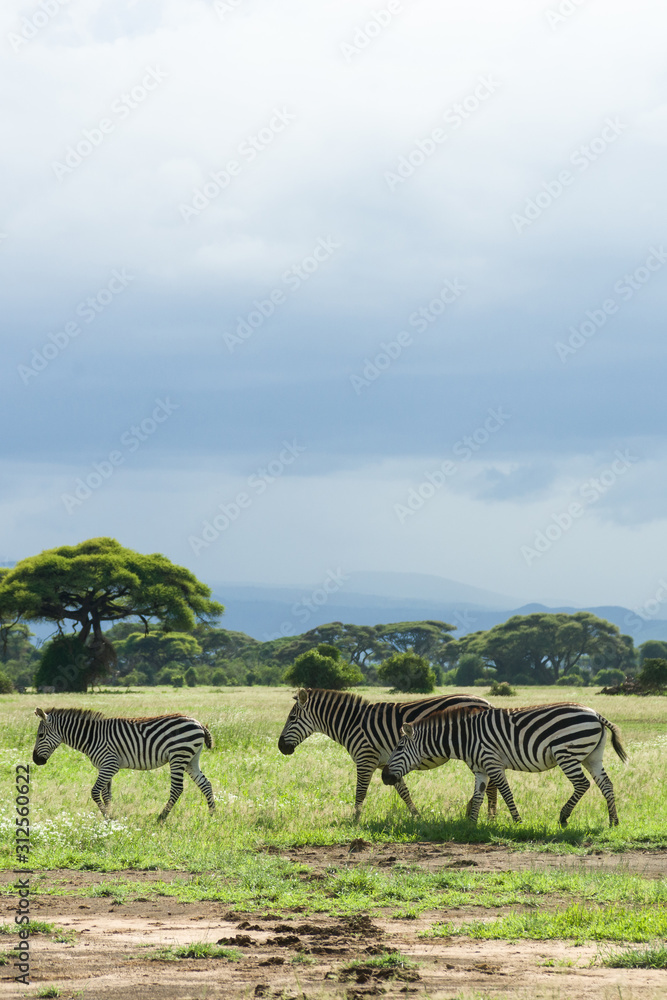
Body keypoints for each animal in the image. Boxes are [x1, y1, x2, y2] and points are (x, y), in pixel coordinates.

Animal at [32, 707, 216, 821]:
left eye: (40, 735)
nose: (35, 760)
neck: (92, 737)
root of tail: (199, 723)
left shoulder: (110, 765)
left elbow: (95, 792)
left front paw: (107, 817)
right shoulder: (105, 767)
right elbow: (106, 794)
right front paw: (110, 817)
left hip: (178, 756)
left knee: (177, 788)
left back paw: (161, 818)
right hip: (191, 759)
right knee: (205, 784)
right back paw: (212, 815)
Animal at [278, 687, 497, 821]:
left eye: (292, 718)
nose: (280, 747)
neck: (351, 723)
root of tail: (487, 703)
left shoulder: (365, 759)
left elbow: (360, 792)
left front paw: (355, 820)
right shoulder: (388, 765)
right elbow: (403, 792)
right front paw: (416, 816)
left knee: (491, 784)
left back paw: (490, 816)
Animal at [382, 702, 627, 827]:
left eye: (399, 748)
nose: (384, 777)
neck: (464, 738)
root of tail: (596, 714)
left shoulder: (492, 763)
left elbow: (506, 792)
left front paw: (517, 821)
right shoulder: (480, 769)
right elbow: (478, 795)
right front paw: (471, 825)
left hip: (566, 753)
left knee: (582, 784)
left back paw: (564, 817)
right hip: (591, 757)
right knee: (606, 785)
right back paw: (613, 821)